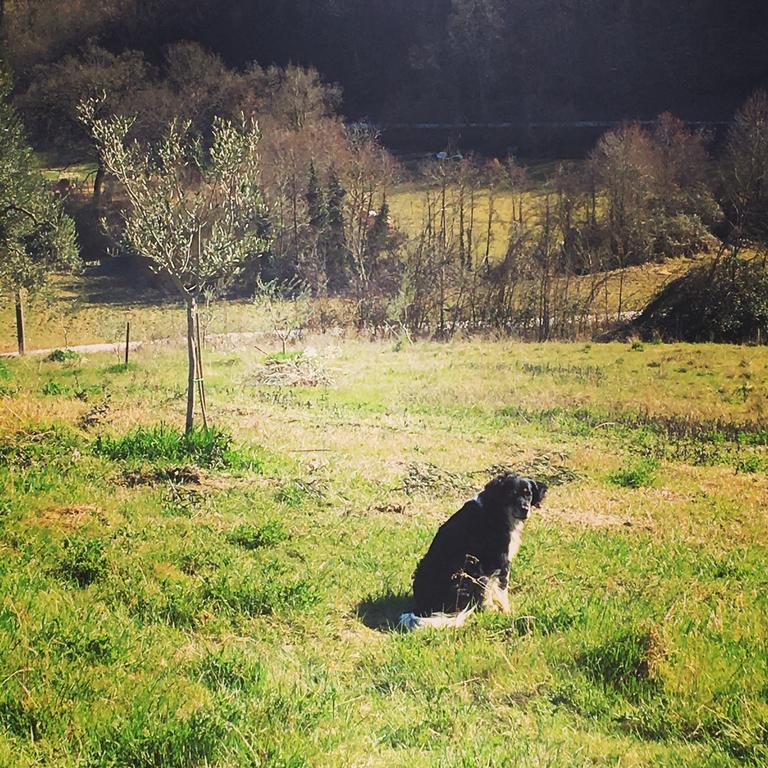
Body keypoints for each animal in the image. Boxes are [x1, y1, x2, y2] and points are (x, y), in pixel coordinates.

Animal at [402, 474, 544, 632]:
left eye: (528, 494)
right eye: (510, 495)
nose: (525, 509)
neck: (495, 509)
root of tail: (420, 608)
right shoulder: (499, 562)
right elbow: (501, 591)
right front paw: (506, 612)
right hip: (470, 573)